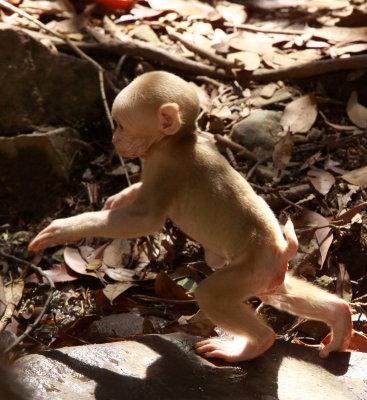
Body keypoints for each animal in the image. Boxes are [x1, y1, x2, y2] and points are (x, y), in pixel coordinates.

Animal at [28, 72, 350, 362]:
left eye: (120, 123)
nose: (114, 138)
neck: (178, 140)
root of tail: (282, 248)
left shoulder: (167, 168)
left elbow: (145, 220)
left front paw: (63, 228)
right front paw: (119, 196)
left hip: (253, 268)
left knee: (213, 296)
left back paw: (252, 345)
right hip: (269, 274)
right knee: (279, 294)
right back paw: (340, 321)